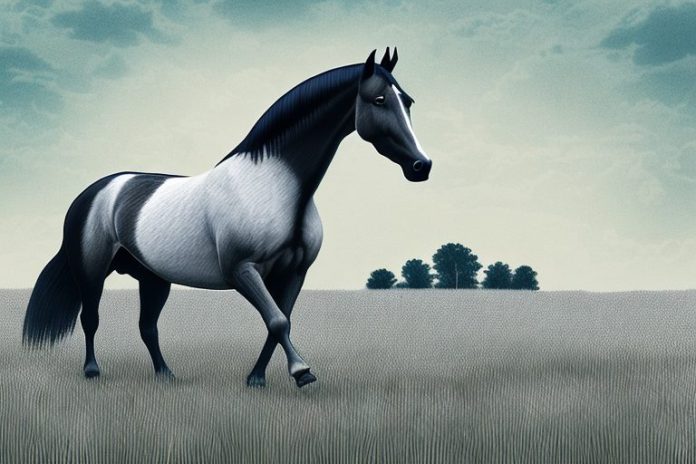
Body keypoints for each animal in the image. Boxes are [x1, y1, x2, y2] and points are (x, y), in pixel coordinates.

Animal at [22, 48, 431, 388]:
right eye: (379, 99)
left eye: (408, 101)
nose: (421, 166)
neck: (273, 187)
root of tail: (95, 192)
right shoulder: (242, 270)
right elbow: (277, 320)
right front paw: (302, 372)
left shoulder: (294, 273)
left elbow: (278, 322)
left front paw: (258, 379)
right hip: (91, 270)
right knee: (90, 319)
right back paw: (93, 371)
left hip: (153, 279)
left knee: (148, 328)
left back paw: (167, 375)